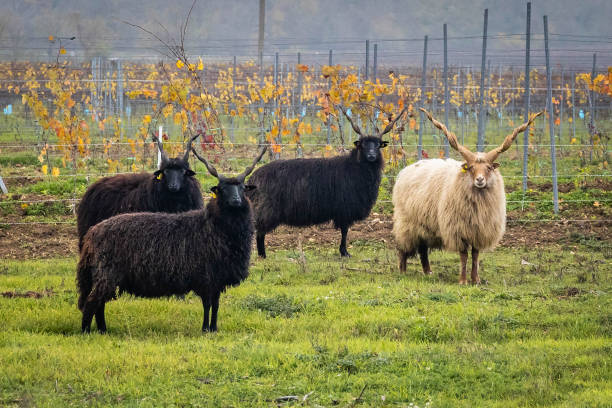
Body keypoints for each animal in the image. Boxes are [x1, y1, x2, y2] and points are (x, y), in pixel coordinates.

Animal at [75, 145, 266, 334]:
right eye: (222, 189)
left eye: (242, 188)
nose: (236, 200)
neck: (213, 226)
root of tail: (92, 234)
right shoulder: (206, 276)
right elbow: (207, 305)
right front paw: (205, 329)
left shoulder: (218, 278)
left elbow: (216, 306)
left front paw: (214, 329)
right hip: (106, 273)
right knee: (92, 302)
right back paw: (87, 331)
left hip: (102, 275)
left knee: (99, 304)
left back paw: (103, 330)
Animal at [244, 107, 406, 256]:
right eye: (362, 144)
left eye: (378, 145)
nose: (372, 155)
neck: (355, 167)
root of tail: (253, 177)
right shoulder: (344, 208)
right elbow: (345, 231)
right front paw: (344, 252)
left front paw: (343, 251)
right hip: (266, 209)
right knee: (259, 231)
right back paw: (262, 255)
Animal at [390, 107, 544, 282]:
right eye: (470, 168)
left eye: (489, 168)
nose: (480, 180)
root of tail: (407, 169)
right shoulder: (459, 231)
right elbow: (464, 256)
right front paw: (463, 280)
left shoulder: (478, 231)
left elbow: (475, 255)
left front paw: (475, 279)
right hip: (407, 223)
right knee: (403, 247)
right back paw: (402, 270)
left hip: (424, 226)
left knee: (422, 249)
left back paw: (428, 271)